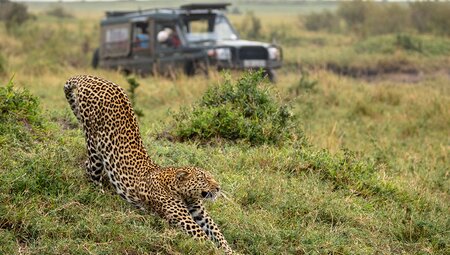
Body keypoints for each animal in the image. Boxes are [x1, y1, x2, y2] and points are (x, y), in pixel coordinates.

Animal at [63, 74, 232, 254]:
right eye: (203, 179)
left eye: (211, 177)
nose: (218, 188)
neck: (180, 190)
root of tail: (90, 77)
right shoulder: (182, 218)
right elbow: (203, 237)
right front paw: (215, 250)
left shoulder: (200, 212)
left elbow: (217, 232)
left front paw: (229, 250)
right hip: (94, 145)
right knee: (91, 170)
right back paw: (100, 196)